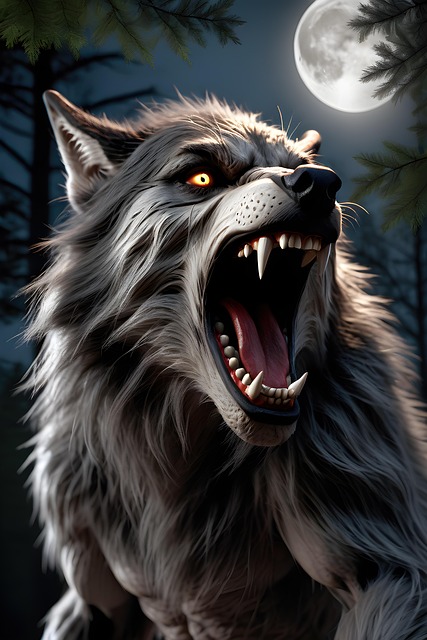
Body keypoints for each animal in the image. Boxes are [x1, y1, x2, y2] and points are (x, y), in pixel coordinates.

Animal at [25, 90, 427, 639]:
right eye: (201, 177)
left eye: (297, 166)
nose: (320, 184)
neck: (174, 449)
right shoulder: (92, 599)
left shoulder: (385, 561)